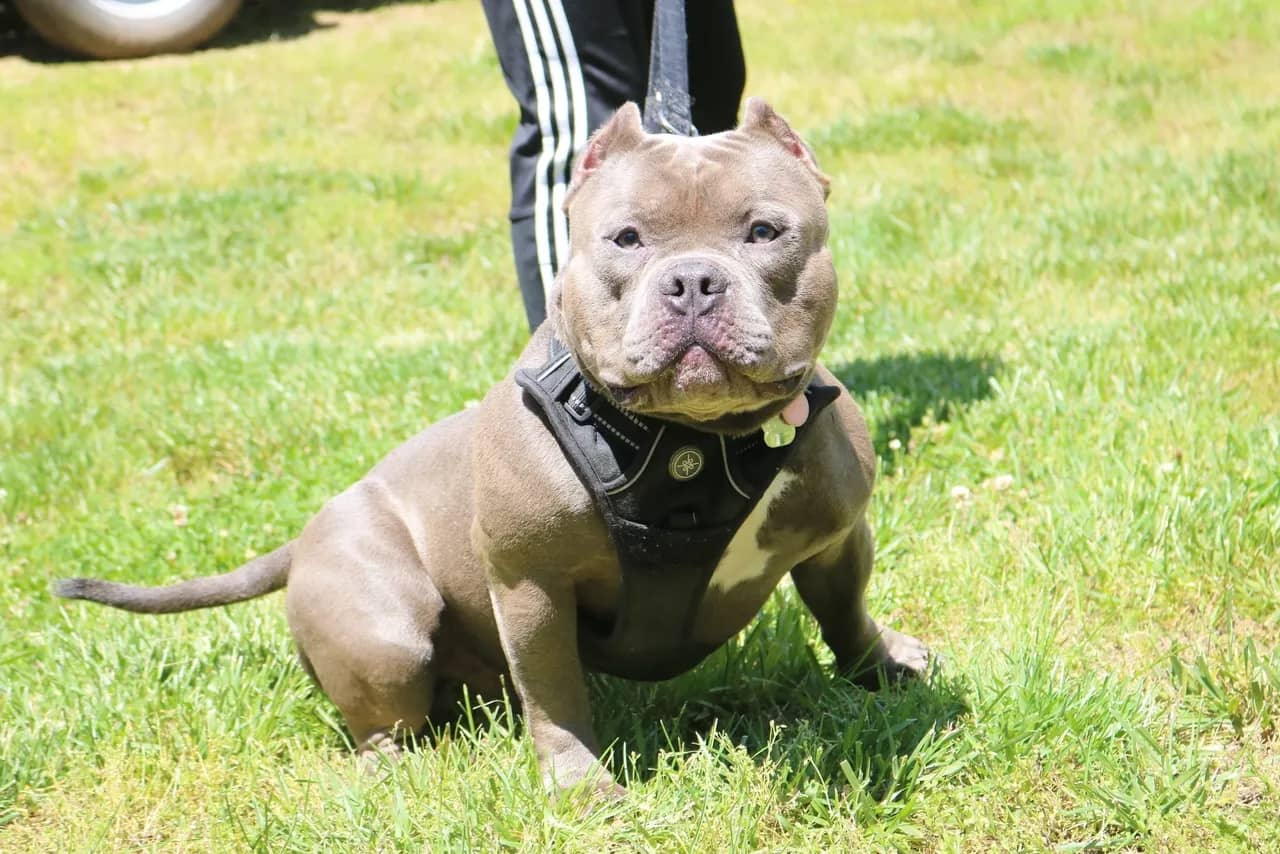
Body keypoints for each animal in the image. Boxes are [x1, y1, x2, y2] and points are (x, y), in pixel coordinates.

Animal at [55, 98, 926, 793]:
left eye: (764, 231)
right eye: (626, 239)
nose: (692, 282)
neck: (691, 443)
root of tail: (302, 539)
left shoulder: (837, 537)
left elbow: (845, 610)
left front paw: (881, 667)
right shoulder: (530, 583)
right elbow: (557, 694)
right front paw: (582, 788)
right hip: (387, 629)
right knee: (386, 720)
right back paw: (392, 770)